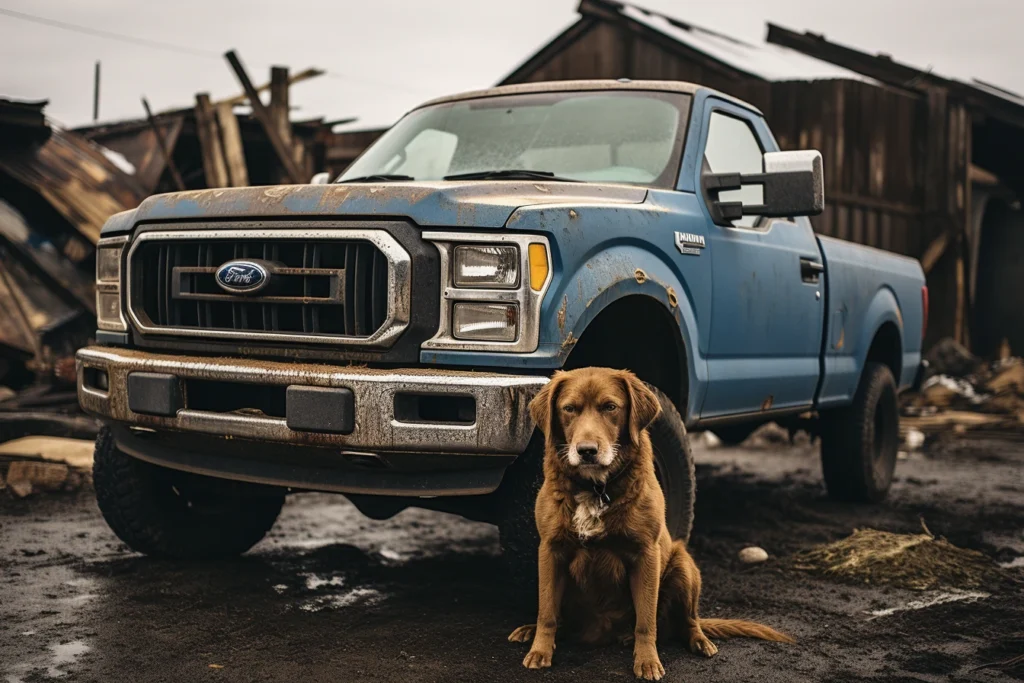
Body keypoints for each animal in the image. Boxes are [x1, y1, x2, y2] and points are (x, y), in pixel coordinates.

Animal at [509, 370, 790, 679]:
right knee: (560, 618)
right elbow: (546, 611)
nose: (586, 451)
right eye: (569, 408)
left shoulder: (646, 554)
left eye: (610, 407)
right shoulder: (551, 550)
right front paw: (540, 651)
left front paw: (647, 661)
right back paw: (530, 631)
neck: (596, 487)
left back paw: (699, 641)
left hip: (683, 565)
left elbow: (646, 620)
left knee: (687, 621)